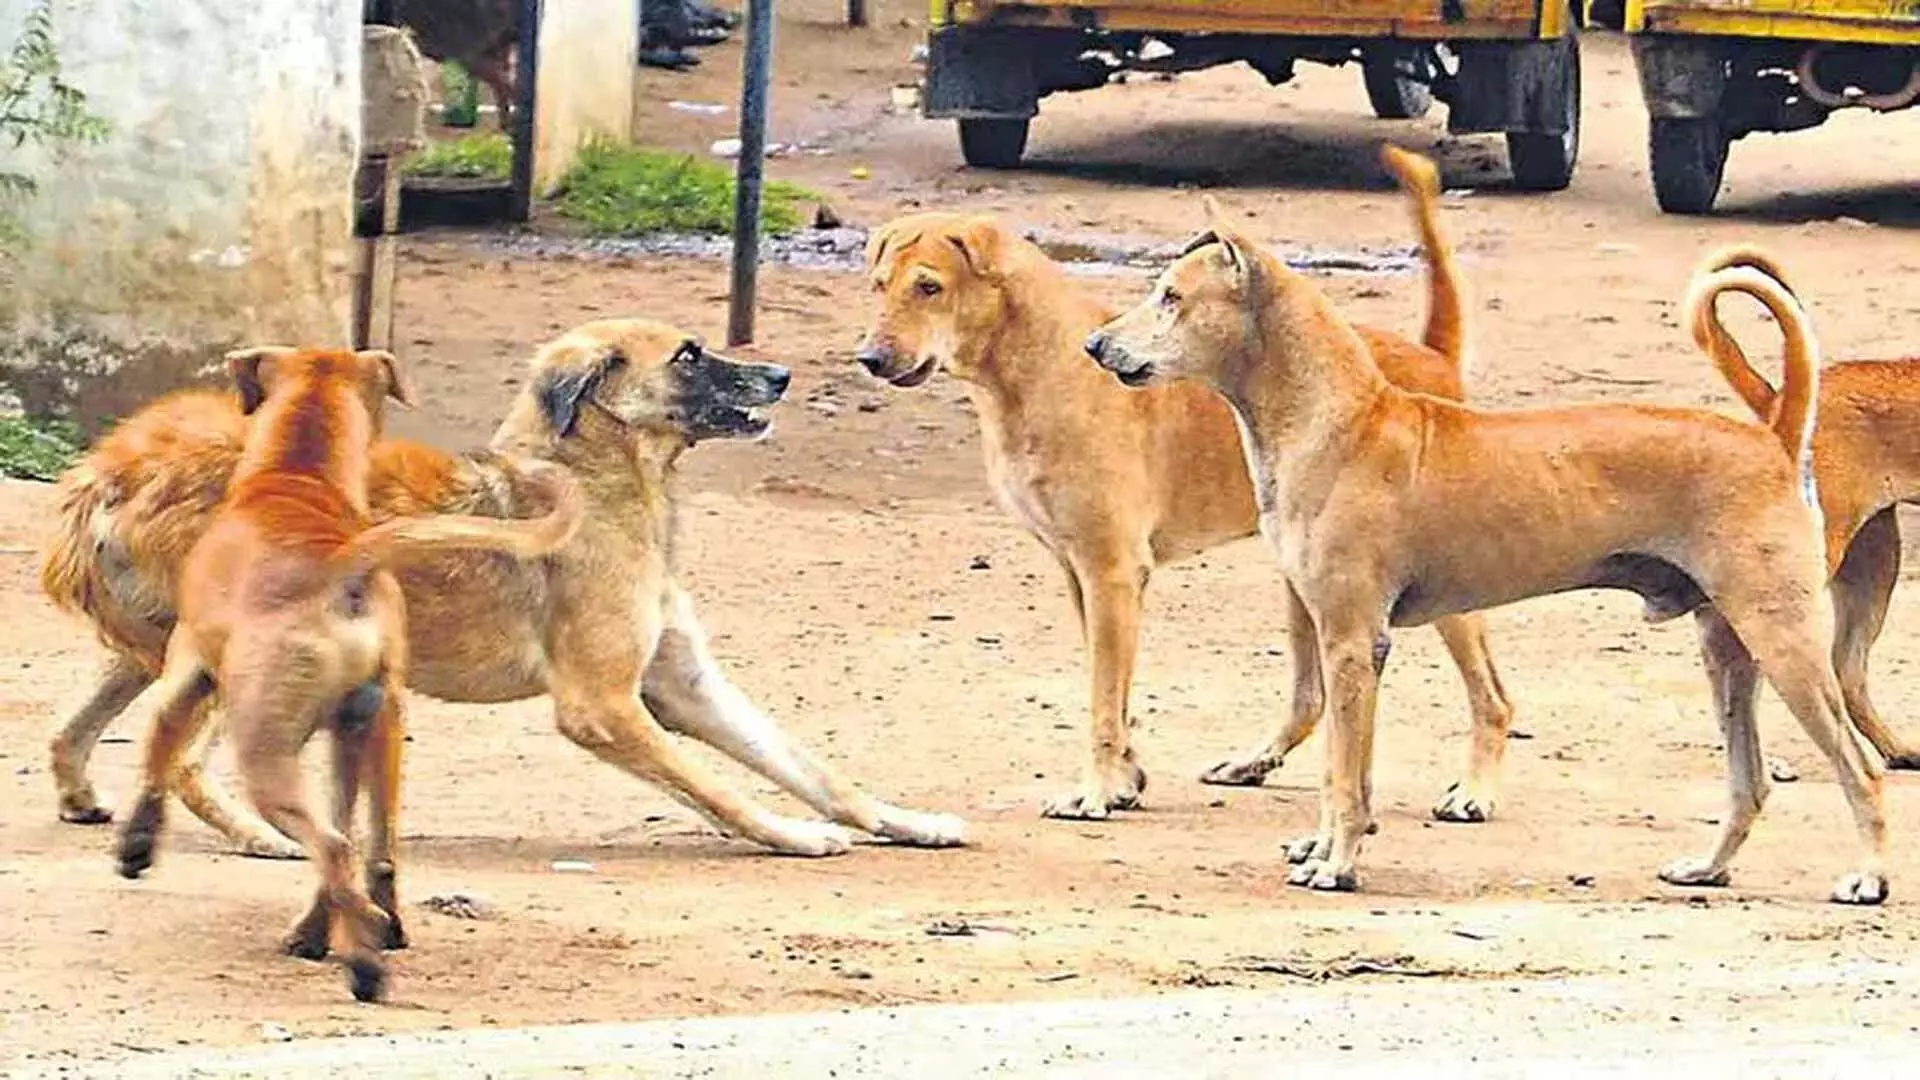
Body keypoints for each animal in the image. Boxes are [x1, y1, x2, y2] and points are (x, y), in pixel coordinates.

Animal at [41, 313, 975, 864]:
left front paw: (907, 820)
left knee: (75, 727)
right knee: (188, 764)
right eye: (687, 355)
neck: (601, 478)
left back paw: (84, 795)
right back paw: (265, 835)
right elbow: (719, 785)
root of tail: (111, 473)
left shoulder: (682, 684)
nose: (781, 375)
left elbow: (808, 765)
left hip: (155, 648)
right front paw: (789, 835)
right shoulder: (604, 704)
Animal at [107, 343, 576, 999]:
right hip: (377, 731)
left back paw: (365, 961)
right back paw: (362, 927)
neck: (297, 476)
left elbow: (159, 750)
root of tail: (340, 566)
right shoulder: (358, 729)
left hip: (264, 751)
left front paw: (137, 846)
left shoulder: (186, 671)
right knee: (370, 847)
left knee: (334, 848)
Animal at [856, 171, 1512, 818]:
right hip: (1305, 587)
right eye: (880, 285)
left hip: (1439, 591)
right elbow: (1115, 694)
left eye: (929, 287)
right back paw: (1252, 763)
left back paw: (1475, 791)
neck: (1040, 369)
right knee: (1310, 699)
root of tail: (1432, 356)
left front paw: (1097, 791)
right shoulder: (1080, 575)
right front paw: (1126, 780)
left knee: (1493, 697)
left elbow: (1102, 700)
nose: (869, 357)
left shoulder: (1111, 571)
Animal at [1082, 143, 1889, 899]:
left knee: (1861, 765)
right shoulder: (1331, 636)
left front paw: (1337, 863)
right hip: (1727, 649)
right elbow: (1337, 771)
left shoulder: (1352, 643)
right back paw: (1708, 868)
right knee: (1750, 783)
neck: (1337, 420)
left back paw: (1869, 877)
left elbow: (1345, 775)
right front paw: (1323, 850)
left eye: (1170, 297)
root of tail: (1774, 436)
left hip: (1781, 639)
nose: (1094, 346)